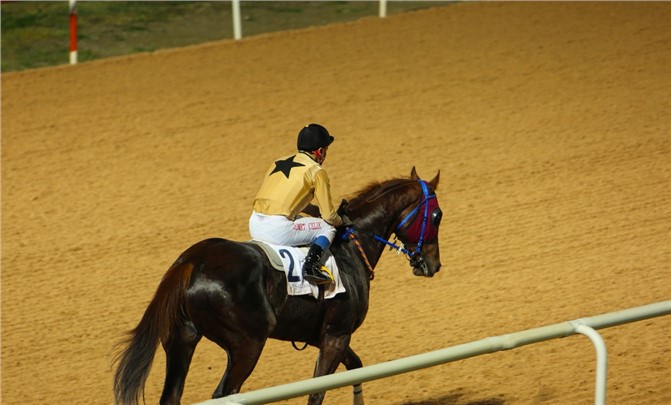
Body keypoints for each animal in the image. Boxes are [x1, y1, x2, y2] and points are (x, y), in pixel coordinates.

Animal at [113, 166, 444, 404]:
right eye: (437, 216)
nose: (432, 264)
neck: (352, 246)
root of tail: (191, 262)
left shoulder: (326, 335)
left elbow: (356, 368)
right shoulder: (337, 335)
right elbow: (318, 390)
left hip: (182, 339)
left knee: (172, 397)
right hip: (247, 344)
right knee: (225, 394)